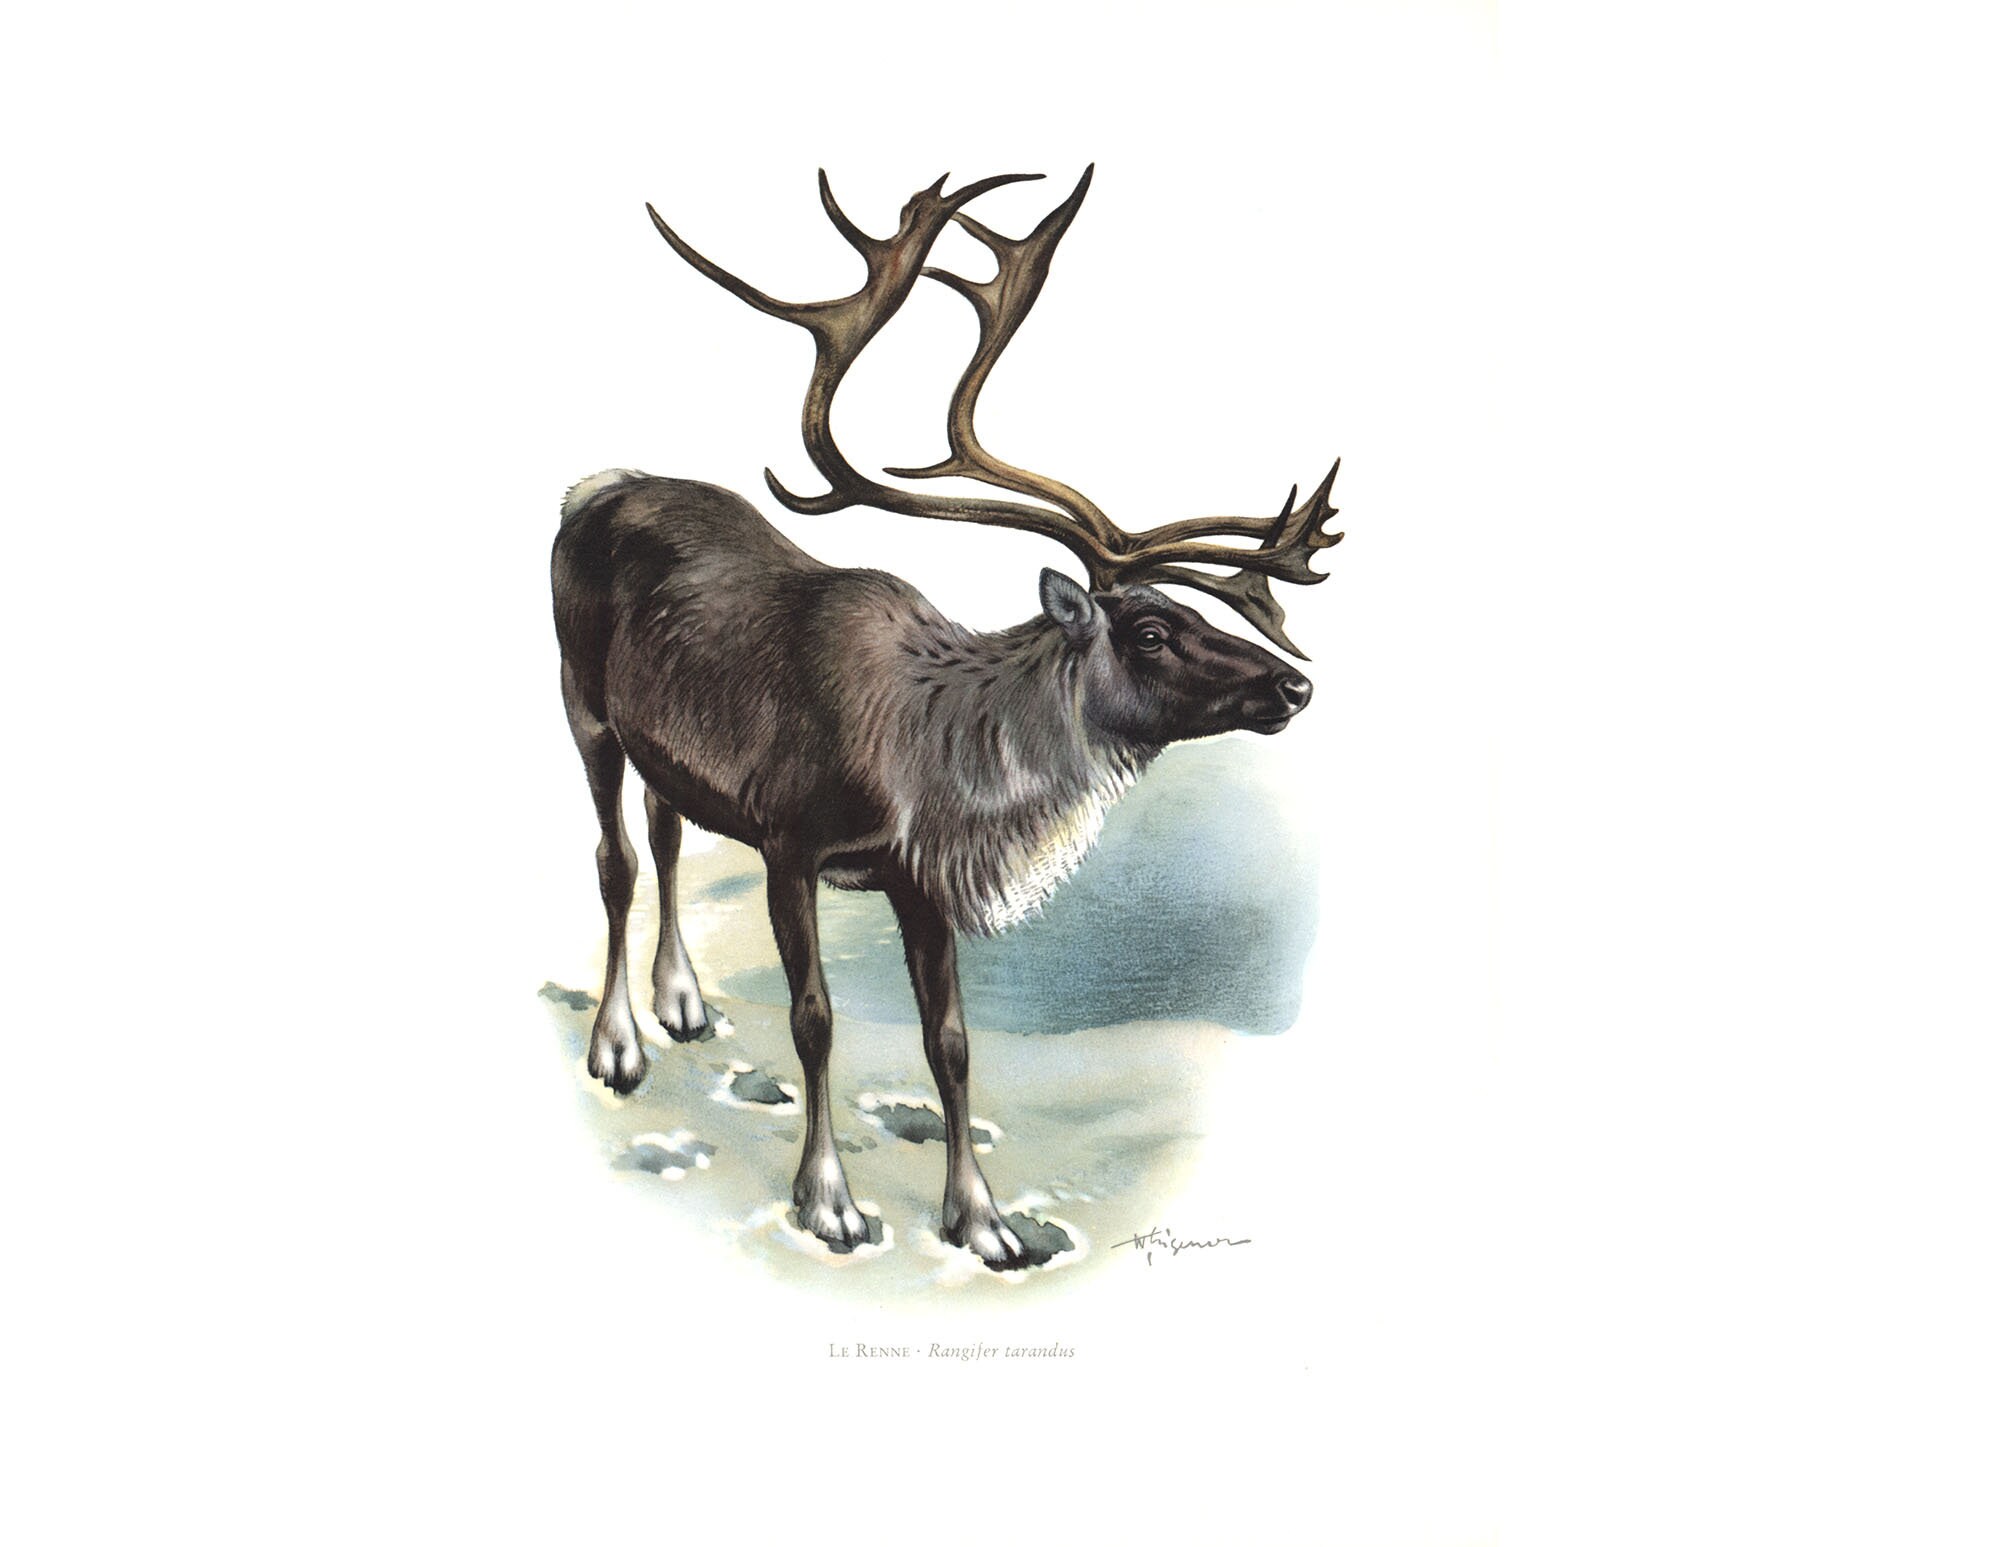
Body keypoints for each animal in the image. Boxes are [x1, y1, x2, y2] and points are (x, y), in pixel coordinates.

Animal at [552, 167, 1342, 1268]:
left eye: (1197, 614)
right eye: (1148, 629)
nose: (1292, 687)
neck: (926, 765)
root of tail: (593, 487)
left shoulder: (916, 880)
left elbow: (954, 1042)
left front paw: (983, 1218)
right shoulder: (791, 839)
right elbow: (813, 1018)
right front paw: (829, 1202)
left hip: (662, 748)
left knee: (665, 835)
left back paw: (684, 1004)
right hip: (580, 702)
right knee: (615, 858)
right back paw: (618, 1044)